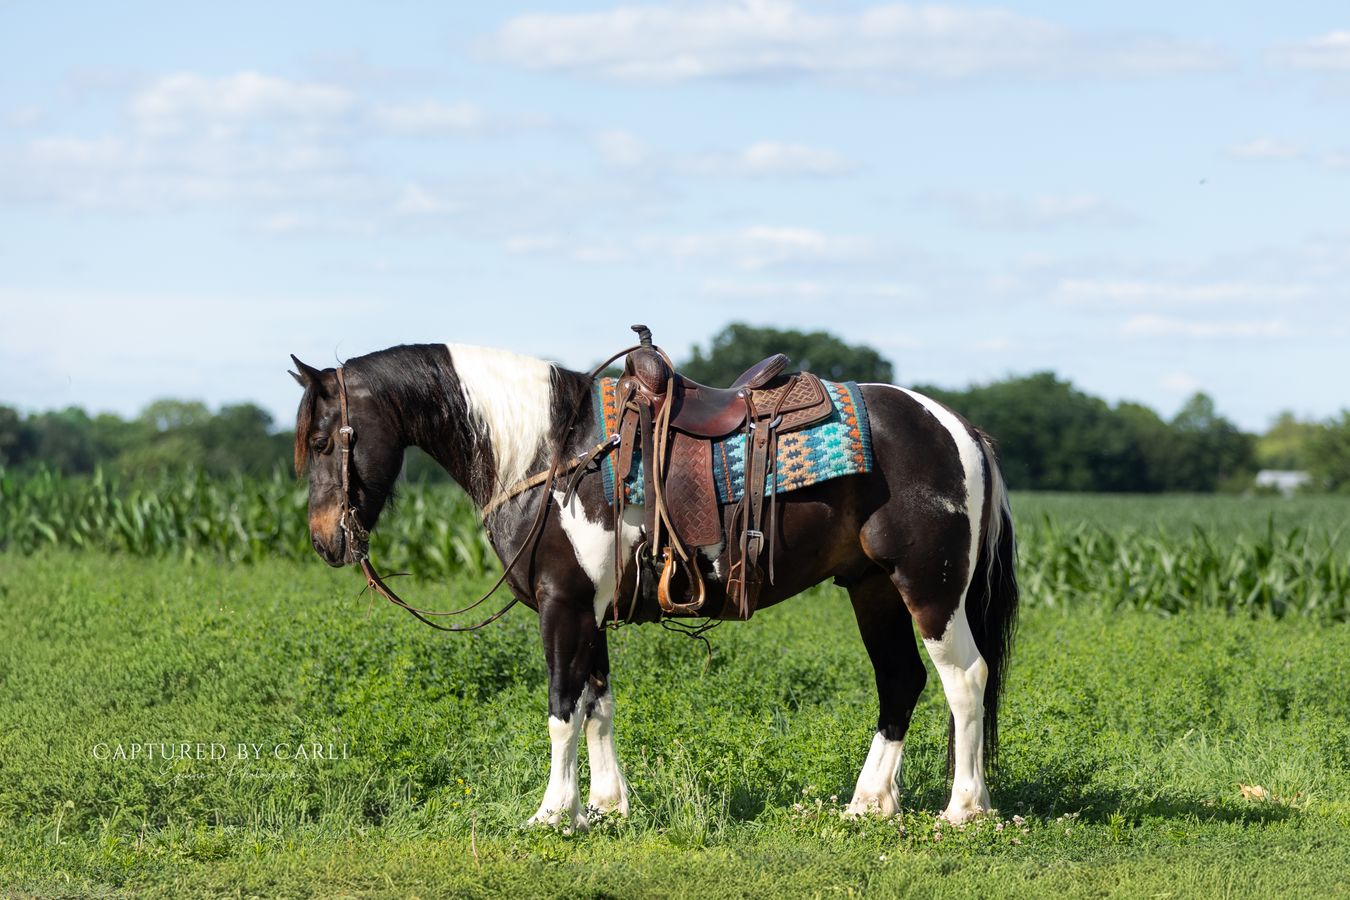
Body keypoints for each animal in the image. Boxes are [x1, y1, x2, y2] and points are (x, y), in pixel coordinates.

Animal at [290, 339, 1018, 830]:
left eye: (324, 440)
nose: (326, 541)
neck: (552, 452)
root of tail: (958, 428)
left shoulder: (562, 605)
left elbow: (562, 708)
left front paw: (551, 814)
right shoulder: (590, 610)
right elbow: (598, 706)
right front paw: (605, 808)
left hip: (931, 590)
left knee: (966, 680)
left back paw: (964, 808)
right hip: (872, 588)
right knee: (900, 681)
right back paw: (868, 804)